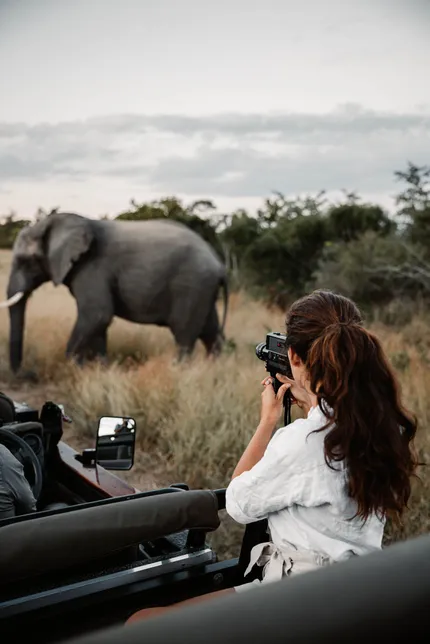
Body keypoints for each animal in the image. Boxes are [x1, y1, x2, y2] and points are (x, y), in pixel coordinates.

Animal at [0, 212, 229, 374]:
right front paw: (100, 370)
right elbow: (98, 324)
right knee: (210, 332)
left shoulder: (93, 267)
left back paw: (178, 372)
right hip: (203, 290)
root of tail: (219, 265)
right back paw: (215, 371)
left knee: (184, 335)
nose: (28, 373)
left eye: (26, 261)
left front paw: (74, 371)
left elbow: (97, 315)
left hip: (191, 286)